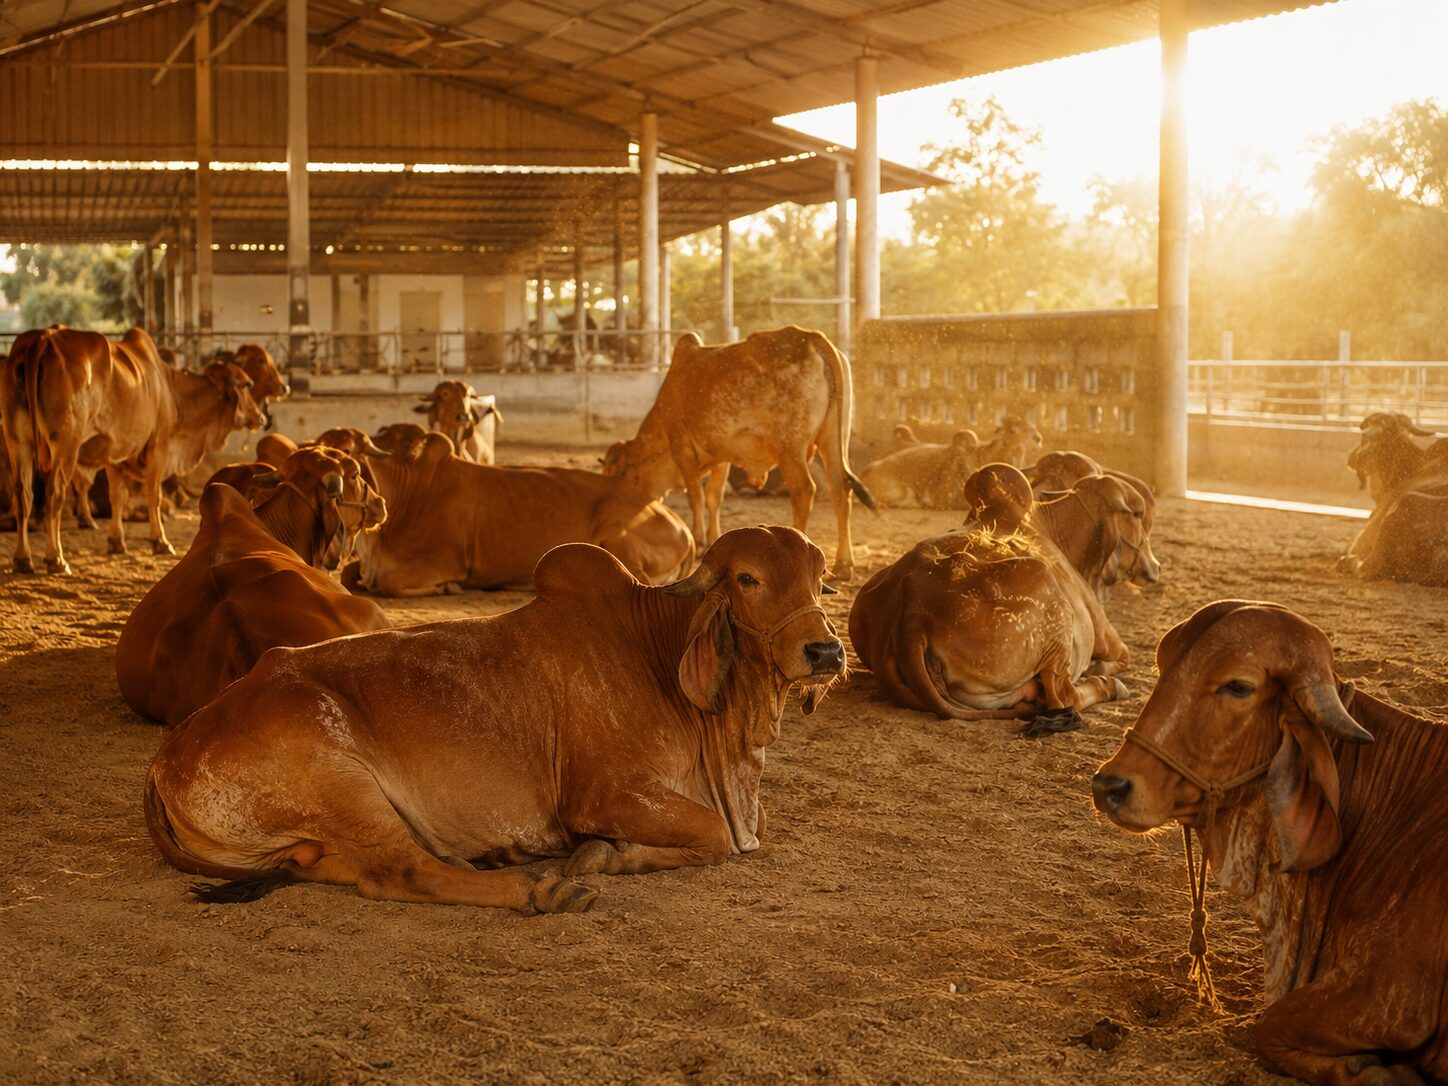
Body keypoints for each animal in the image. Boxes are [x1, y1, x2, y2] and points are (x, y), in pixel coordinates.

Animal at [143, 526, 844, 912]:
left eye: (820, 577)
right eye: (748, 578)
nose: (825, 651)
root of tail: (167, 755)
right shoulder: (601, 795)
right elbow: (714, 834)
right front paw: (600, 858)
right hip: (341, 777)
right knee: (403, 873)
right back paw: (539, 890)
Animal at [333, 423, 692, 596]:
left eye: (350, 461)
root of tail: (684, 528)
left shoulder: (442, 562)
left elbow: (386, 584)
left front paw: (449, 587)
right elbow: (352, 576)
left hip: (617, 537)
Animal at [601, 326, 875, 581]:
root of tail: (811, 337)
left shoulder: (682, 448)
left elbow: (696, 497)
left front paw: (699, 541)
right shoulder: (722, 457)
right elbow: (714, 497)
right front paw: (712, 539)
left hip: (791, 447)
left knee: (803, 491)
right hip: (833, 441)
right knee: (840, 490)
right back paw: (844, 565)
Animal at [1091, 600, 1448, 1085]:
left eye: (1238, 687)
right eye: (1162, 667)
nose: (1110, 786)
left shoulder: (1393, 995)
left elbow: (1269, 1028)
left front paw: (1377, 1072)